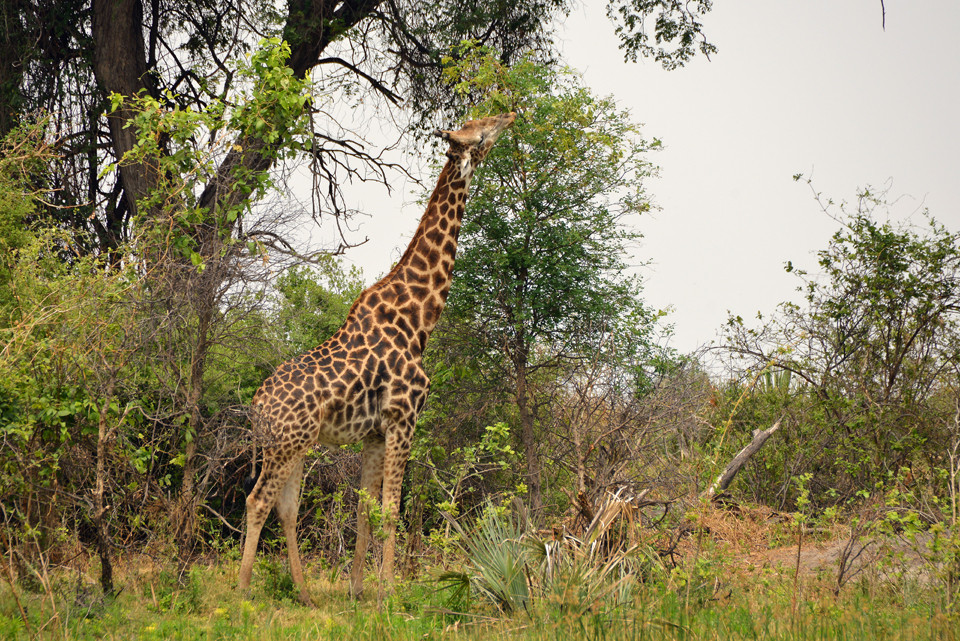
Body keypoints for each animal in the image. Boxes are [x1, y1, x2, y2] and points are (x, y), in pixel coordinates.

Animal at [238, 111, 516, 604]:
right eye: (481, 130)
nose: (512, 114)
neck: (420, 318)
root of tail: (257, 408)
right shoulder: (404, 418)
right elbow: (391, 509)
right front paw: (390, 591)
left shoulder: (372, 433)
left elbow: (365, 508)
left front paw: (356, 589)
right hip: (285, 443)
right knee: (258, 501)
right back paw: (243, 590)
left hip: (294, 445)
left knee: (286, 507)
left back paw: (304, 593)